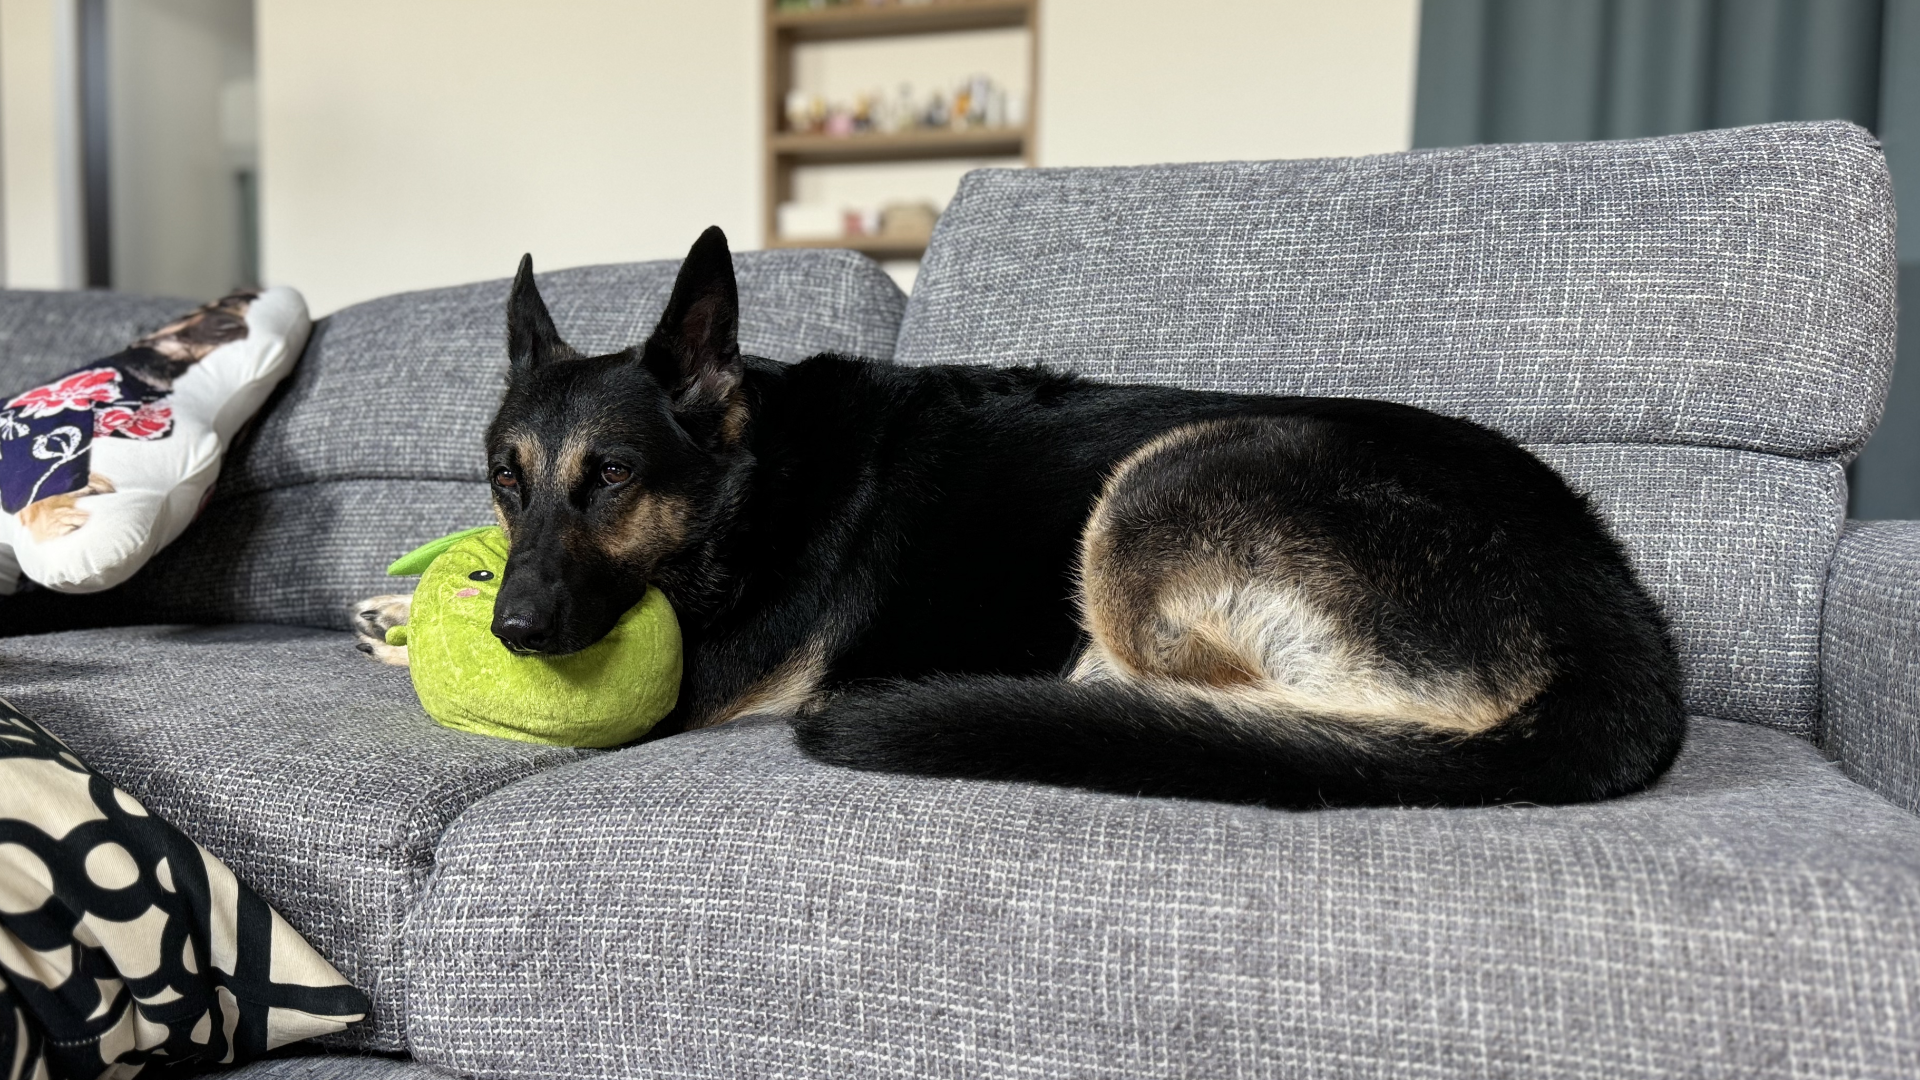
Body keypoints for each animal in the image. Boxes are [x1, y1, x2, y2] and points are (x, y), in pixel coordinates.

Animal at [355, 226, 1685, 809]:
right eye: (505, 480)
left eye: (615, 476)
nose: (516, 632)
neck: (754, 477)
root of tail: (1617, 629)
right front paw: (388, 605)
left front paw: (402, 631)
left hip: (1163, 481)